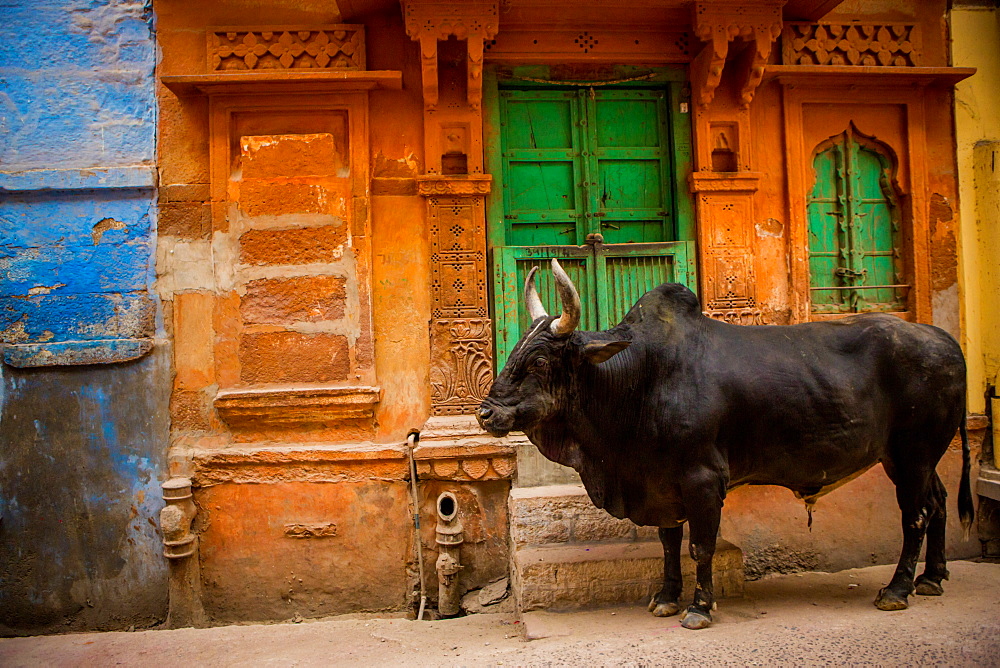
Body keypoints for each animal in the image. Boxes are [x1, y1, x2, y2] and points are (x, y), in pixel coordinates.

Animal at [480, 258, 972, 628]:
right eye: (514, 352)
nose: (486, 412)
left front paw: (699, 608)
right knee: (939, 501)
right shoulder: (662, 484)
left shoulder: (701, 480)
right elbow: (668, 542)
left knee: (916, 515)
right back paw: (933, 578)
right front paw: (666, 597)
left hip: (913, 454)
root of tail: (945, 340)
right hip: (914, 459)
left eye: (540, 361)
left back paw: (898, 589)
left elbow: (701, 546)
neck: (638, 381)